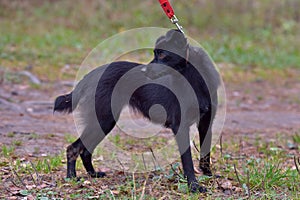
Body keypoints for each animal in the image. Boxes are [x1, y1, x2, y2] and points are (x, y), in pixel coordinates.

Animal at [54, 29, 219, 192]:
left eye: (162, 54)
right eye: (155, 53)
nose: (144, 70)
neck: (193, 78)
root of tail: (91, 74)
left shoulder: (206, 124)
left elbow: (205, 155)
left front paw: (208, 176)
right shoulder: (181, 126)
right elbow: (188, 161)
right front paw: (193, 186)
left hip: (103, 122)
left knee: (85, 151)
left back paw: (93, 174)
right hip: (103, 120)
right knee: (73, 148)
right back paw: (71, 177)